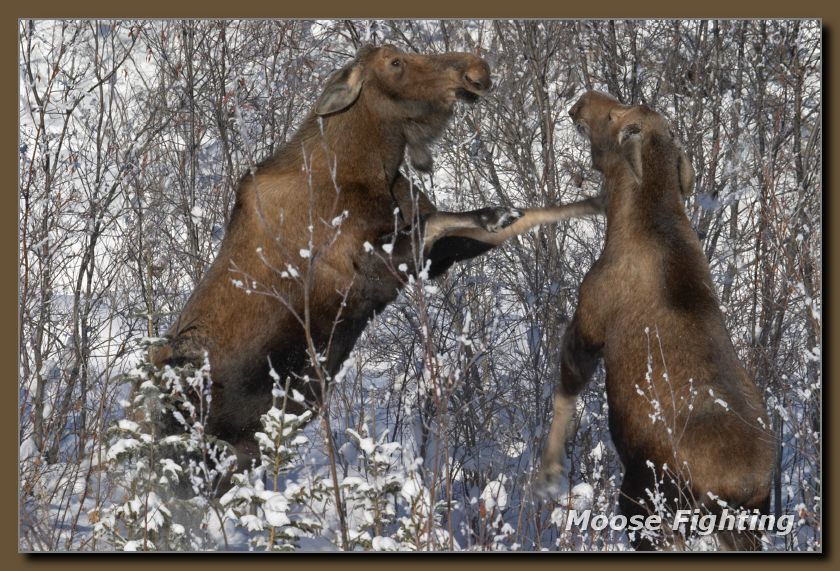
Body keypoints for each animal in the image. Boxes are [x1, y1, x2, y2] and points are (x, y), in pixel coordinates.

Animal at [537, 90, 775, 550]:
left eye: (614, 114)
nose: (582, 100)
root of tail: (744, 487)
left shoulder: (588, 325)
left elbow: (562, 399)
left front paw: (550, 473)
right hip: (747, 523)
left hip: (646, 500)